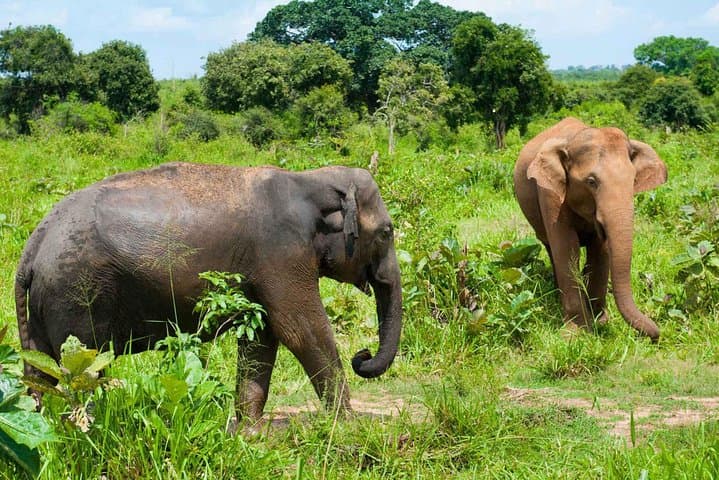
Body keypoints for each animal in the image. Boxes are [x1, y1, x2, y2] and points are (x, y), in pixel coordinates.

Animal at [15, 161, 402, 424]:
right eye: (386, 232)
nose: (362, 356)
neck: (312, 177)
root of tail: (34, 244)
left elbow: (262, 334)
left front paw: (249, 430)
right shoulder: (282, 251)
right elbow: (300, 329)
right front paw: (347, 424)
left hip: (46, 305)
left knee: (42, 371)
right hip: (76, 294)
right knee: (83, 369)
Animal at [513, 117, 667, 340]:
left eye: (633, 180)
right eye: (591, 182)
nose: (656, 335)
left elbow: (600, 250)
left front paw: (600, 322)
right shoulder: (549, 193)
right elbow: (566, 248)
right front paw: (576, 333)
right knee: (551, 248)